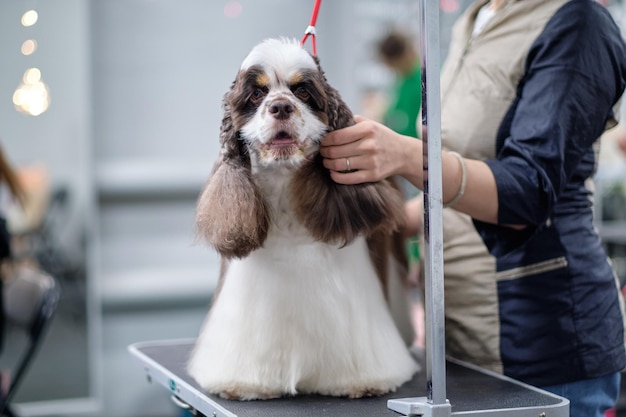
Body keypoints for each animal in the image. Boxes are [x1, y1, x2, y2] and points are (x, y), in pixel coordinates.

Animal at [188, 38, 416, 400]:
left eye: (303, 91)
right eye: (256, 94)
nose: (281, 107)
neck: (284, 185)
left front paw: (363, 382)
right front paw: (243, 385)